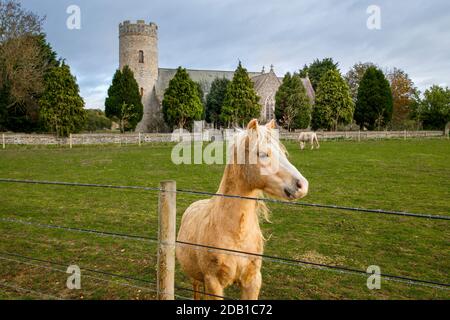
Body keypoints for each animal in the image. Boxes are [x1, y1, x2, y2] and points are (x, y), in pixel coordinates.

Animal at [176, 118, 310, 300]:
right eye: (262, 154)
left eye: (283, 153)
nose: (302, 185)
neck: (236, 235)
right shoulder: (213, 282)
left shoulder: (252, 281)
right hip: (196, 278)